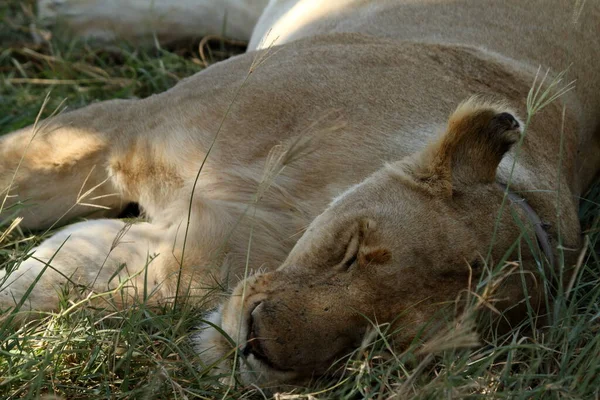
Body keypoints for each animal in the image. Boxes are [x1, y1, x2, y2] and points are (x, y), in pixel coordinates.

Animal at [1, 0, 600, 388]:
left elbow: (37, 288)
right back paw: (70, 24)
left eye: (383, 344)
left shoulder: (151, 258)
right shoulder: (125, 127)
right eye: (353, 249)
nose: (254, 345)